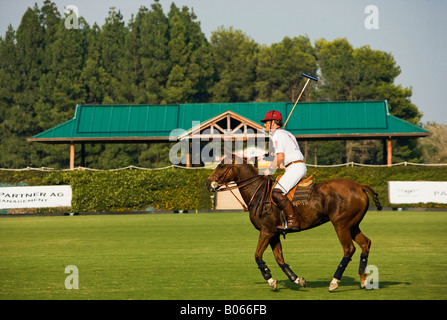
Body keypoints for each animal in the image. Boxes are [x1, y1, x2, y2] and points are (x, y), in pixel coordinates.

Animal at [205, 156, 384, 292]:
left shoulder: (266, 231)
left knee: (349, 249)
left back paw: (334, 282)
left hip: (341, 224)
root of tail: (360, 186)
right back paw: (363, 279)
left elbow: (257, 255)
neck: (259, 193)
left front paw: (271, 280)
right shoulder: (274, 233)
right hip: (353, 225)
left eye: (221, 165)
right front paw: (297, 280)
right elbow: (279, 258)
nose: (207, 183)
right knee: (365, 243)